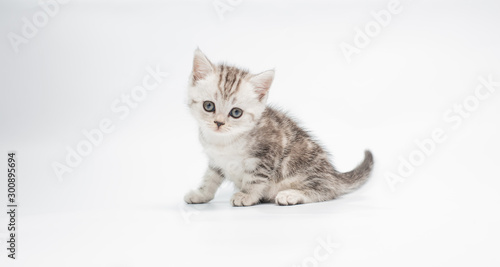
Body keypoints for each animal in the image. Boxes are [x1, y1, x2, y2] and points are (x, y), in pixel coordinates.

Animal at [184, 48, 372, 207]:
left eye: (236, 112)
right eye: (209, 106)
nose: (219, 123)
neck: (224, 141)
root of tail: (333, 174)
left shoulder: (266, 155)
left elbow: (255, 179)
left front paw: (247, 195)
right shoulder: (215, 161)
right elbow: (210, 178)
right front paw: (201, 194)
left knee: (326, 190)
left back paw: (291, 194)